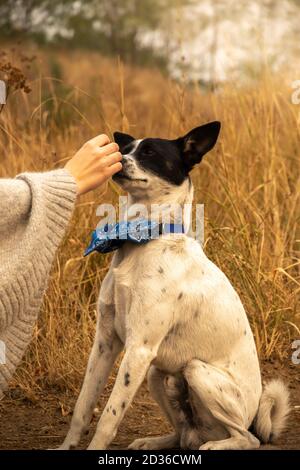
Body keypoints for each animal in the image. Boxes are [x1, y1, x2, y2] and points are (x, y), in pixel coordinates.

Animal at [57, 122, 290, 452]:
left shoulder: (139, 348)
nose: (118, 156)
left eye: (149, 152)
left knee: (247, 439)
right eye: (125, 149)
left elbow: (109, 416)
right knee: (182, 434)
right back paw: (156, 441)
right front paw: (66, 446)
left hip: (196, 372)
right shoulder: (105, 341)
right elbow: (83, 405)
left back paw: (217, 445)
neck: (143, 239)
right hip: (158, 374)